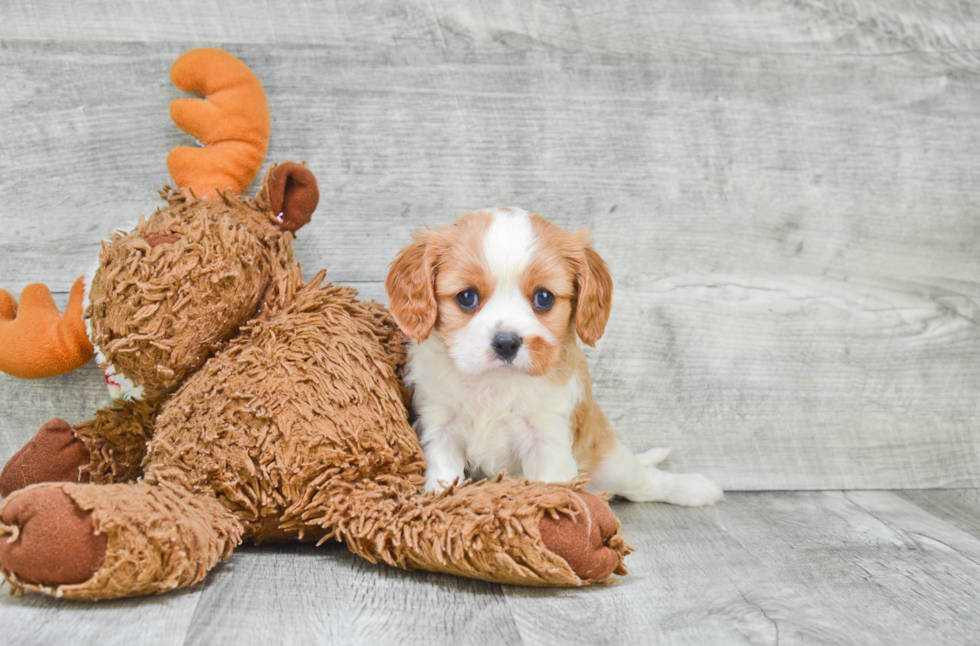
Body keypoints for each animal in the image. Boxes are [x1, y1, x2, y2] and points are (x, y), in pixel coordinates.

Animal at [386, 208, 724, 506]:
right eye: (467, 297)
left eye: (544, 298)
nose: (506, 343)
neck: (496, 384)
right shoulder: (439, 424)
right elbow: (444, 475)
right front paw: (439, 504)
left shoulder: (547, 435)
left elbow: (548, 487)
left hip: (609, 464)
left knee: (643, 482)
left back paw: (694, 489)